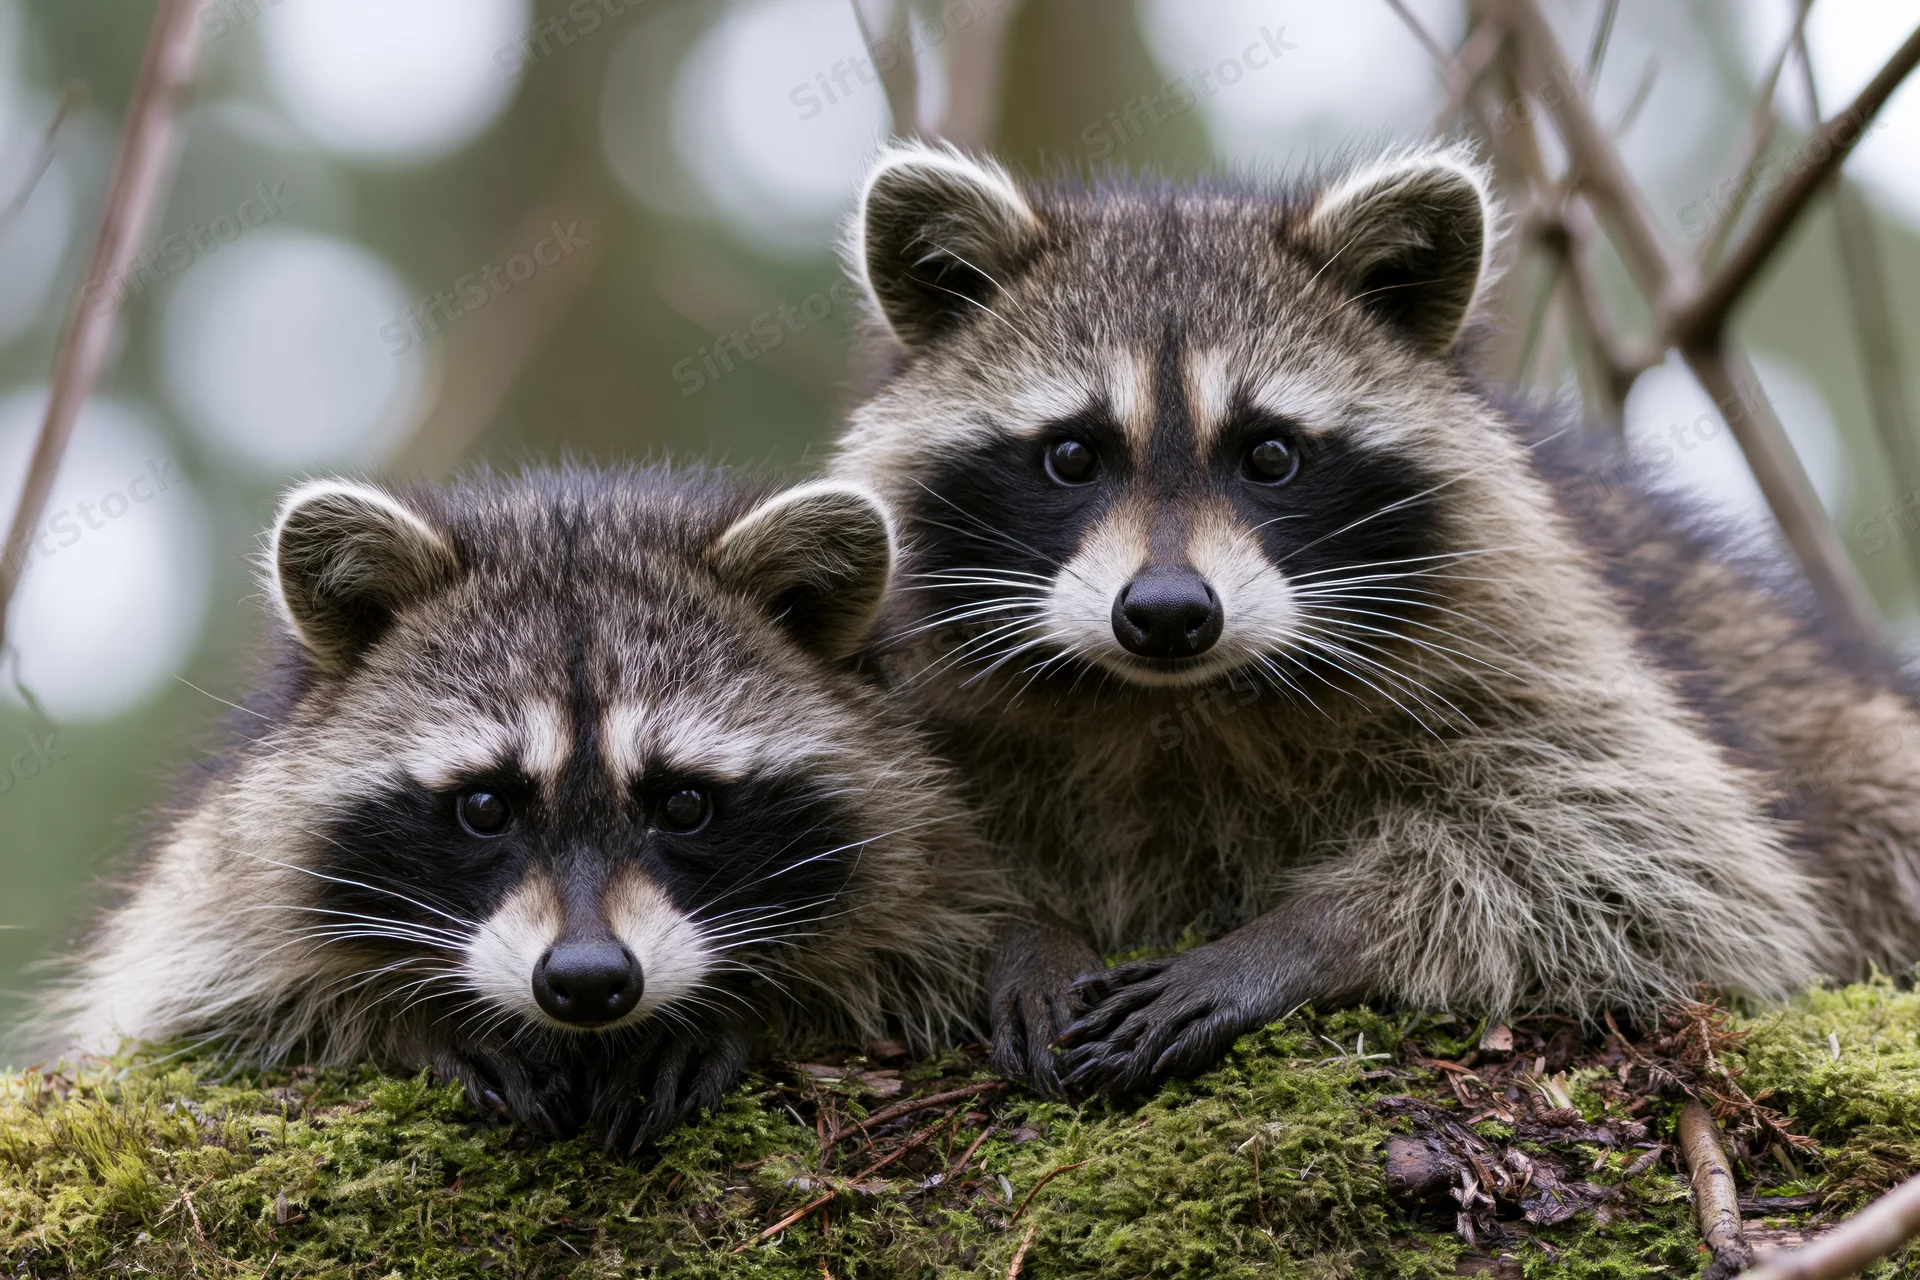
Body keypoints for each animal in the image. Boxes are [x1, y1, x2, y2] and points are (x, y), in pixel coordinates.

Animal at [48, 466, 1002, 1145]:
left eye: (683, 804)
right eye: (484, 806)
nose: (586, 980)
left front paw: (745, 1009)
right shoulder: (210, 902)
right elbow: (205, 1014)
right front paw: (407, 1019)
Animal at [829, 140, 1920, 1099]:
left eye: (1270, 454)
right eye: (1071, 456)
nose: (1169, 613)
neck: (1172, 701)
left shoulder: (1537, 632)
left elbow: (1648, 855)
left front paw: (1301, 937)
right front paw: (1019, 928)